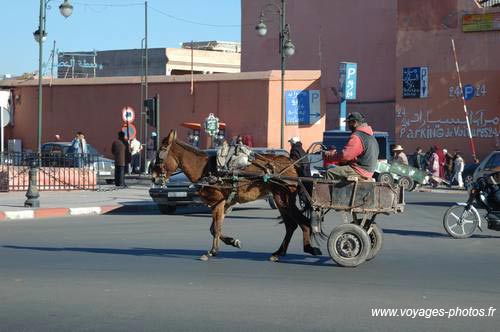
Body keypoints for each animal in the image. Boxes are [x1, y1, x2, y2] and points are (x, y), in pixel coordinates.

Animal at [150, 130, 322, 262]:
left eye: (160, 154)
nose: (153, 177)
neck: (206, 169)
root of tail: (292, 164)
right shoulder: (224, 204)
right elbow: (214, 229)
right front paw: (232, 241)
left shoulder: (218, 203)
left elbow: (216, 228)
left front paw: (212, 251)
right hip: (281, 199)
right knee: (291, 225)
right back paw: (280, 253)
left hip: (283, 198)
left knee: (301, 222)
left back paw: (308, 249)